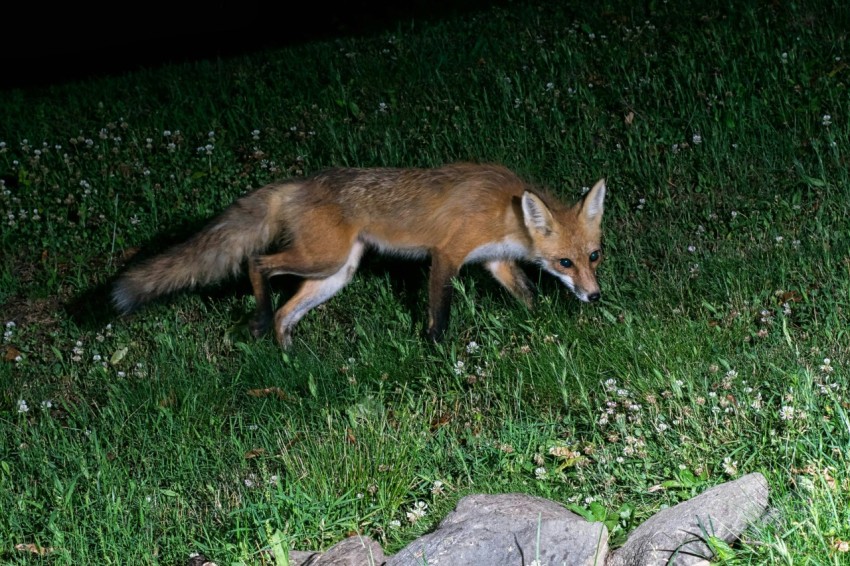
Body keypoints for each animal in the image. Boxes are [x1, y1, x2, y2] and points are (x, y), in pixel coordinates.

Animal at [111, 163, 604, 350]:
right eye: (565, 263)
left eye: (594, 256)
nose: (595, 297)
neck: (505, 209)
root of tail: (298, 184)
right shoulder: (446, 254)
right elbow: (439, 314)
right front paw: (435, 354)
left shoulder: (494, 261)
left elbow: (527, 296)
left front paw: (543, 327)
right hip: (321, 259)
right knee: (258, 265)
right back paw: (259, 319)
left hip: (335, 274)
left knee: (287, 313)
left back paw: (290, 361)